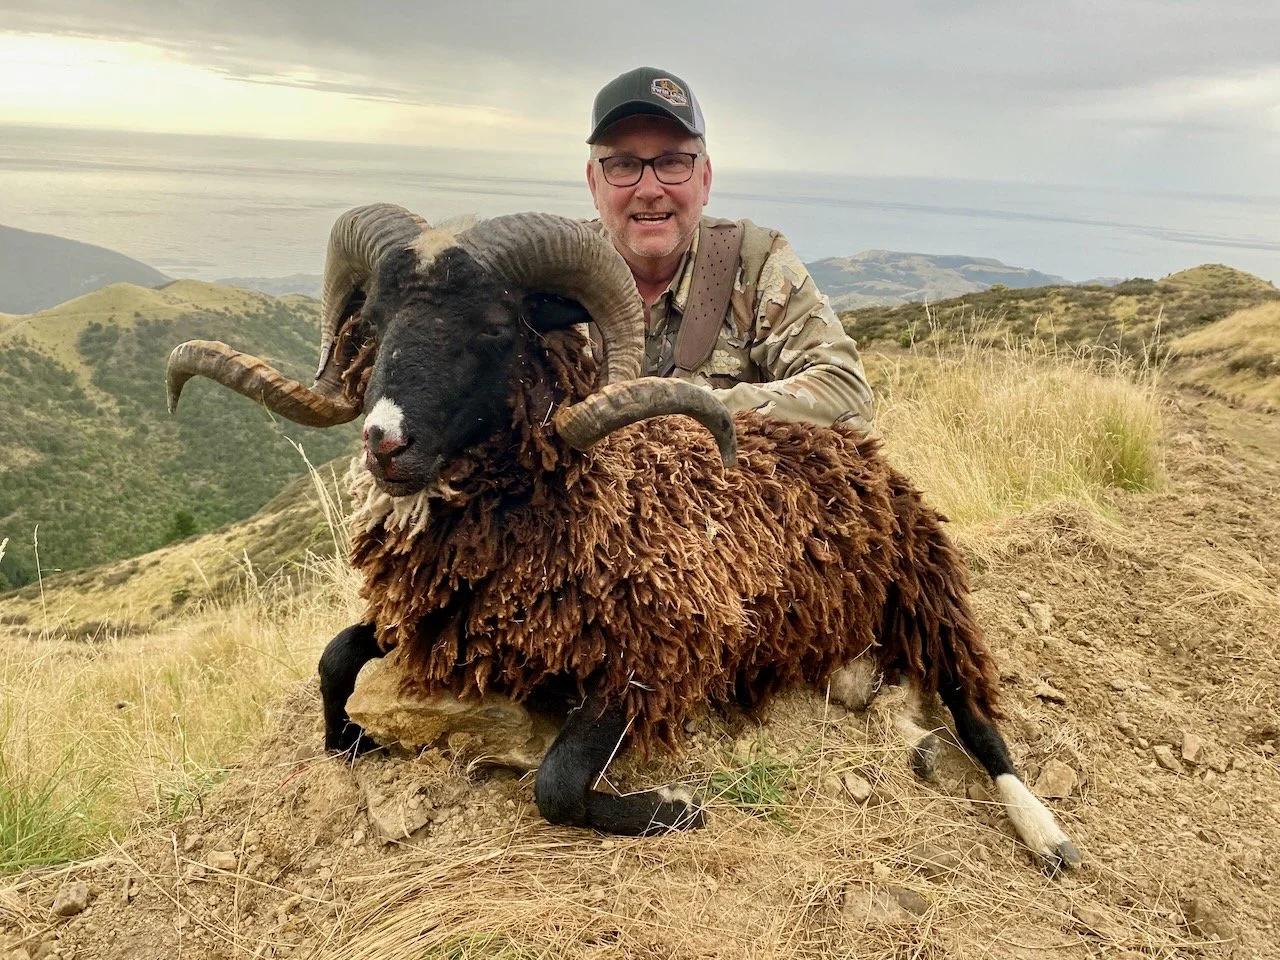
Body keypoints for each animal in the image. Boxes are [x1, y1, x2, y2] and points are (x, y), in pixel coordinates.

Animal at [165, 204, 1082, 871]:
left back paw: (1046, 835)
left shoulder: (656, 650)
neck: (585, 501)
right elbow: (332, 661)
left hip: (929, 600)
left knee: (979, 718)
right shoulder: (444, 623)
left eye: (496, 327)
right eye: (377, 322)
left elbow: (556, 785)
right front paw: (351, 736)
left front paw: (670, 810)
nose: (384, 443)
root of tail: (867, 458)